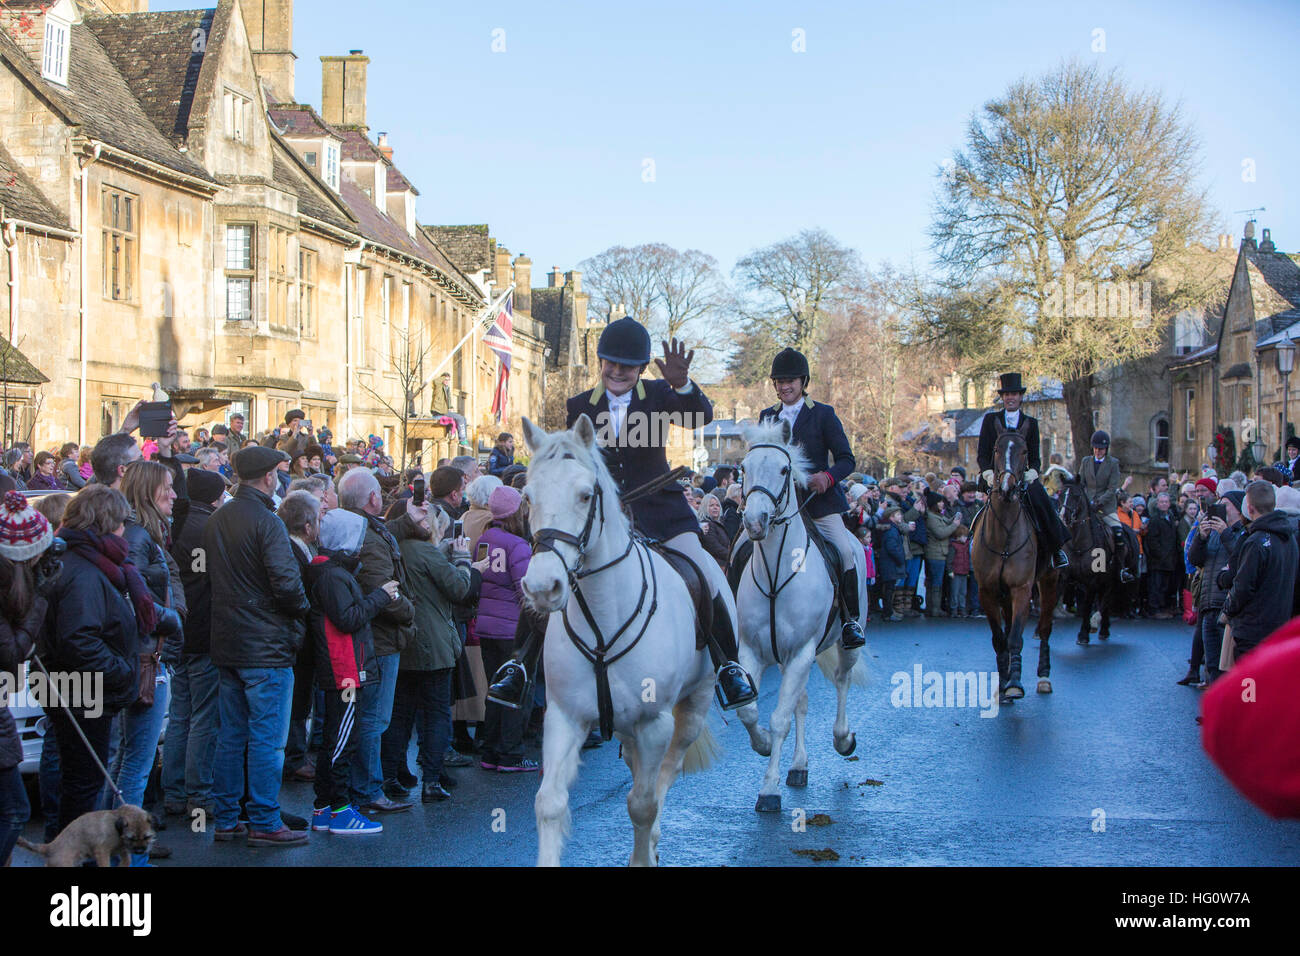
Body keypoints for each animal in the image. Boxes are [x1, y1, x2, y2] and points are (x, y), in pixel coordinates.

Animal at [15, 806, 154, 868]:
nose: (140, 850)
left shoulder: (122, 849)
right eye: (132, 838)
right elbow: (105, 863)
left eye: (147, 837)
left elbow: (127, 860)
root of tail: (49, 847)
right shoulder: (102, 850)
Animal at [520, 416, 722, 868]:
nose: (542, 587)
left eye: (584, 495)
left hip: (693, 706)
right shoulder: (564, 715)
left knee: (666, 773)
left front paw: (643, 854)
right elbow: (548, 803)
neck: (602, 618)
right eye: (527, 497)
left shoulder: (655, 722)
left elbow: (643, 804)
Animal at [733, 421, 863, 811]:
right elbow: (750, 711)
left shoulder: (803, 652)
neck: (777, 574)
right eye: (743, 469)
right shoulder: (752, 651)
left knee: (841, 681)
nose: (754, 522)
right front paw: (762, 745)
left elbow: (779, 719)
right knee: (802, 703)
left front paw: (769, 789)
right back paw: (798, 766)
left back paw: (842, 739)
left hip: (841, 645)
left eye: (783, 470)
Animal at [972, 429, 1060, 697]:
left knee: (1045, 628)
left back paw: (1044, 677)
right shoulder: (987, 592)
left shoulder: (1021, 589)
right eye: (996, 449)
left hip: (1049, 582)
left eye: (1024, 451)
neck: (1004, 534)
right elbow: (1000, 639)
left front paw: (1014, 683)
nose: (1007, 488)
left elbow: (1014, 637)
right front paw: (1004, 681)